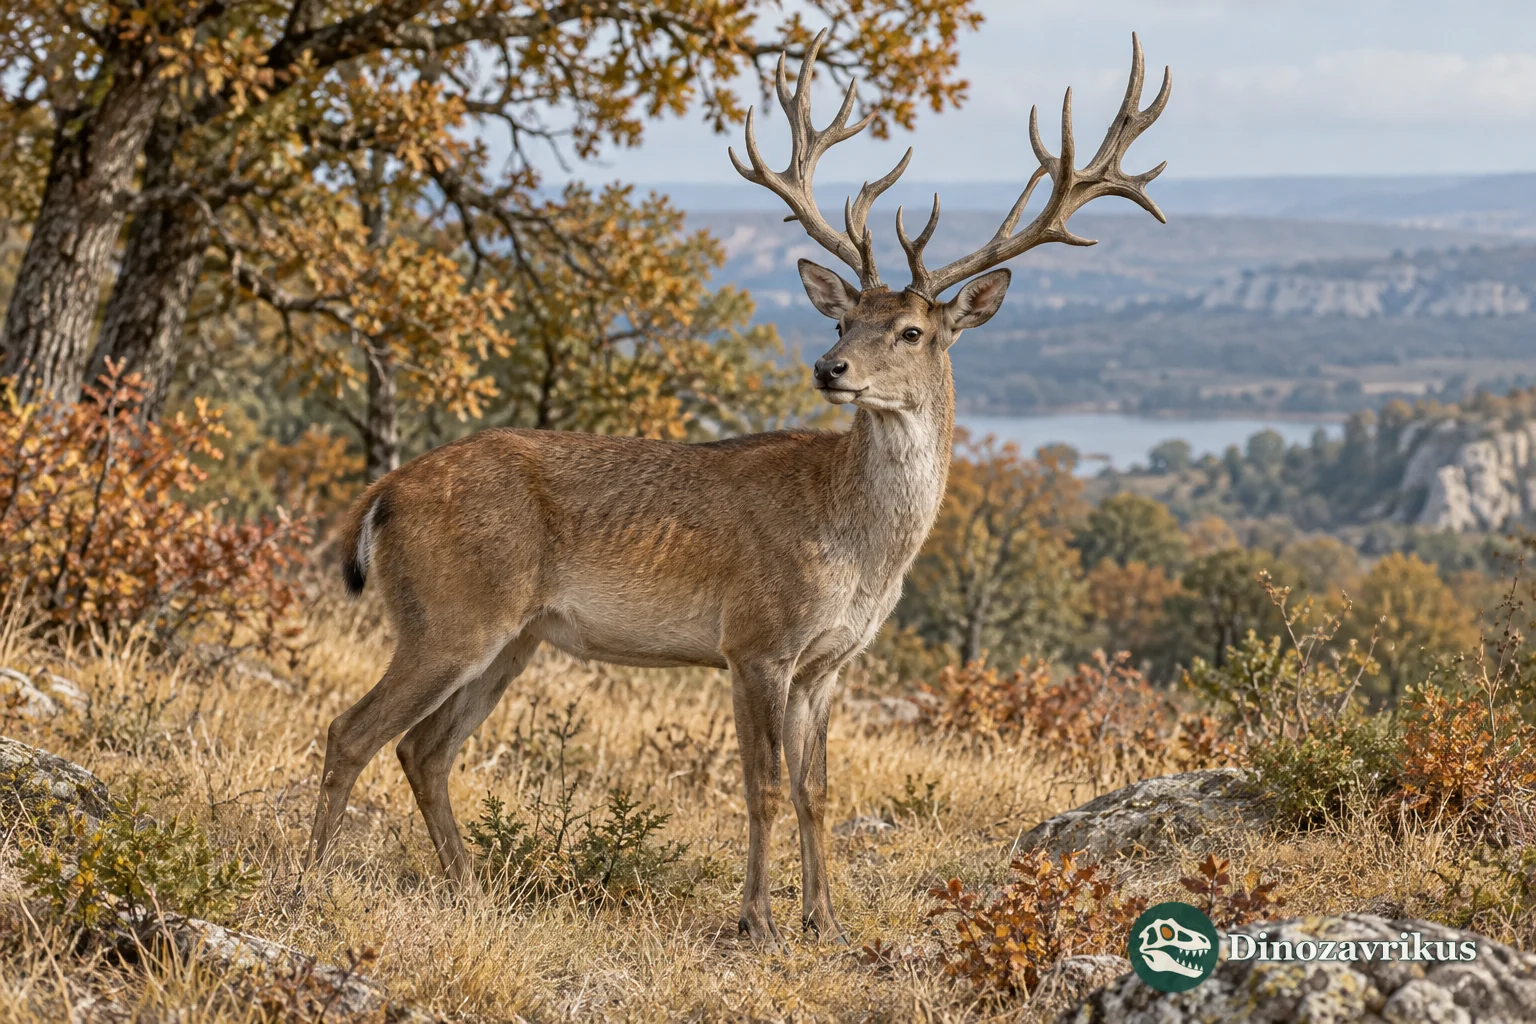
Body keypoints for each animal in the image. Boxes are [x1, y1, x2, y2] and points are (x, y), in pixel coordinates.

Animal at [307, 31, 1170, 947]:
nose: (829, 368)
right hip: (450, 614)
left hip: (513, 638)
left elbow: (814, 789)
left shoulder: (828, 663)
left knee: (423, 749)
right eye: (841, 320)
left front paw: (826, 921)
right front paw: (758, 920)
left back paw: (470, 892)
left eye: (909, 330)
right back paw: (307, 882)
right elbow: (758, 788)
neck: (858, 548)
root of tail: (383, 493)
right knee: (352, 731)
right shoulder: (755, 638)